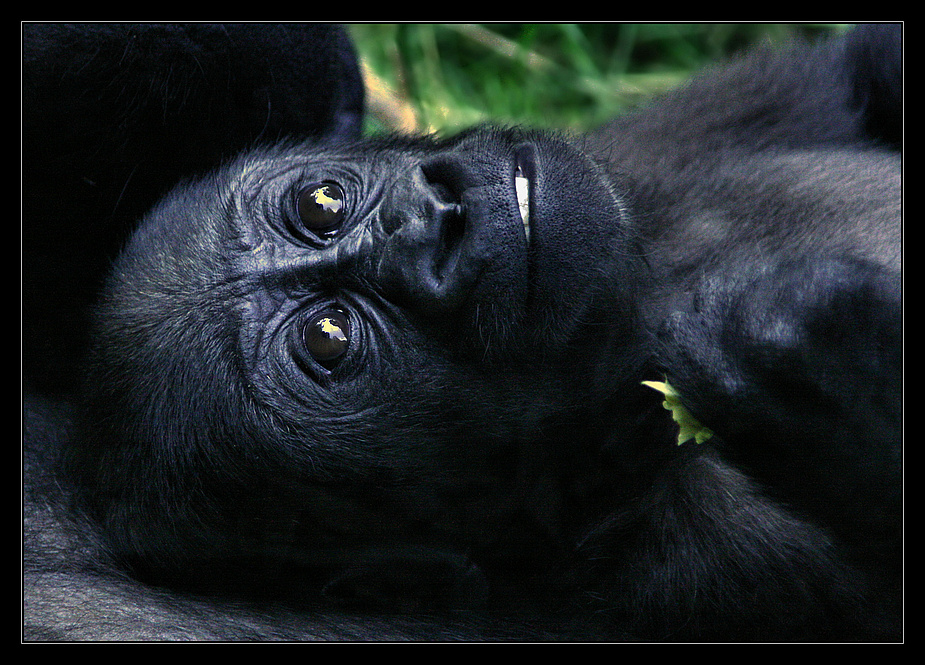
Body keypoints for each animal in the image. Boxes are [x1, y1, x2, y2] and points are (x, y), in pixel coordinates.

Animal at [23, 23, 904, 640]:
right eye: (330, 338)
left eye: (320, 202)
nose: (437, 219)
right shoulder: (694, 559)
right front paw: (836, 382)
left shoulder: (651, 146)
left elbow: (854, 76)